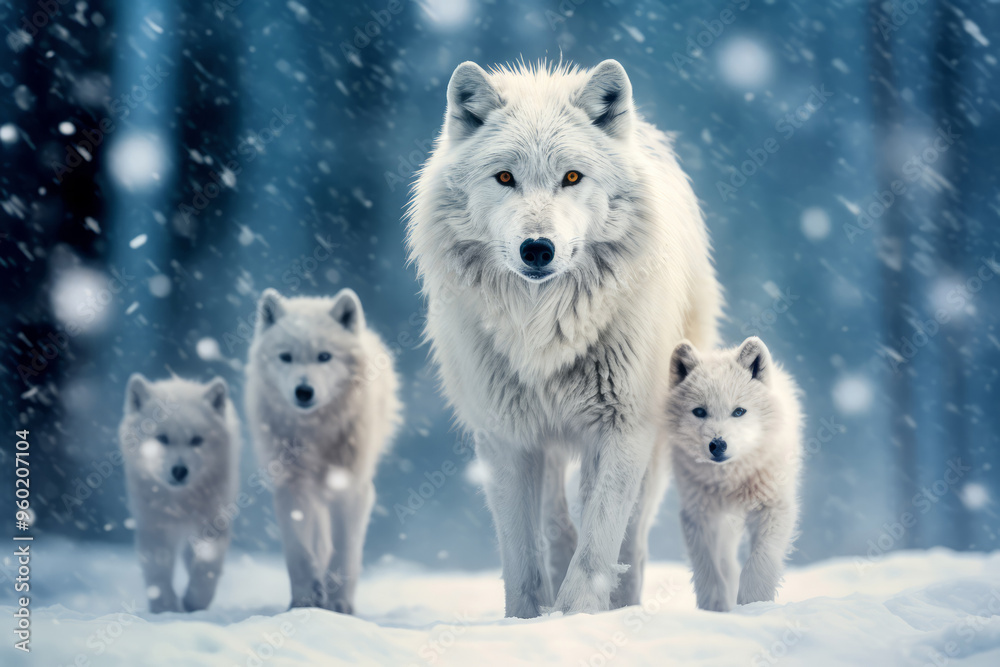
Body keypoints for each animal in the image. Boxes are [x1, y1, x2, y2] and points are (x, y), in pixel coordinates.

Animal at [119, 374, 241, 613]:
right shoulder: (154, 527)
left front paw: (194, 602)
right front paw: (165, 609)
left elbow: (207, 567)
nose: (179, 471)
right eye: (162, 439)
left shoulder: (212, 523)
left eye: (196, 440)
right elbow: (157, 574)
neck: (181, 502)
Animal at [245, 288, 401, 613]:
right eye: (286, 357)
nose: (304, 391)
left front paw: (339, 605)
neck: (315, 432)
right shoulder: (292, 487)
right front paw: (305, 600)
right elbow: (299, 552)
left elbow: (345, 550)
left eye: (324, 357)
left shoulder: (352, 488)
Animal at [407, 59, 722, 617]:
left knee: (631, 539)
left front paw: (577, 616)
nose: (537, 248)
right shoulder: (506, 437)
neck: (544, 327)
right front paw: (526, 619)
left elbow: (599, 543)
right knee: (556, 525)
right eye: (505, 177)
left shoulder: (624, 428)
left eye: (571, 177)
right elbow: (521, 551)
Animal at [666, 336, 803, 612]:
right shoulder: (698, 516)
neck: (730, 481)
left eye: (739, 411)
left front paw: (753, 605)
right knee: (727, 565)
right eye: (699, 411)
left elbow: (759, 562)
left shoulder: (774, 508)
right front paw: (715, 608)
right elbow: (708, 569)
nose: (717, 444)